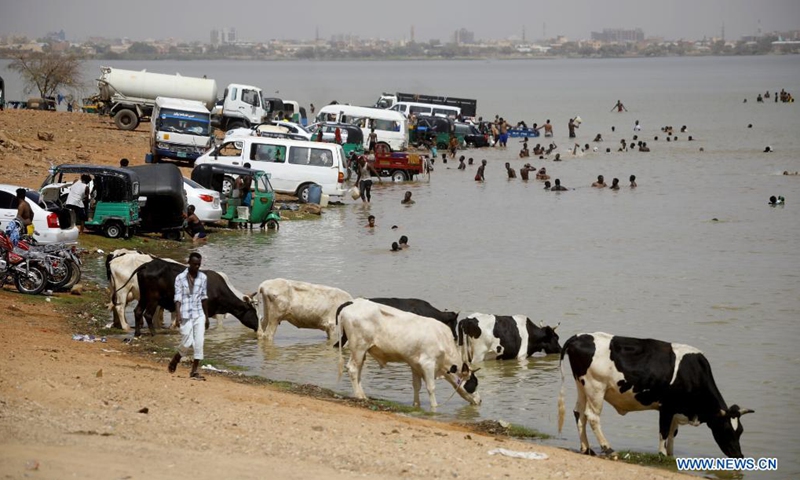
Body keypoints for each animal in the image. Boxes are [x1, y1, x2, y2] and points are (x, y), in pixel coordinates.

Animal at [123, 258, 260, 338]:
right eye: (254, 313)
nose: (258, 326)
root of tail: (146, 265)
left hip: (144, 296)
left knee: (138, 311)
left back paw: (137, 333)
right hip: (153, 298)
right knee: (147, 314)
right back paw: (153, 334)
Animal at [338, 300, 482, 408]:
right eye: (474, 383)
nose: (480, 401)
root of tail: (352, 303)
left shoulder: (415, 364)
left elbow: (416, 386)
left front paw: (416, 405)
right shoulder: (428, 364)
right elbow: (431, 387)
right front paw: (434, 407)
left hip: (362, 351)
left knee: (358, 370)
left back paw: (362, 394)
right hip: (358, 347)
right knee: (352, 369)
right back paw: (359, 396)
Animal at [560, 332, 752, 460]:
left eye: (741, 431)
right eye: (726, 429)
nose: (739, 455)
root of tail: (579, 336)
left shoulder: (675, 411)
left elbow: (672, 433)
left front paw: (671, 455)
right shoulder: (666, 407)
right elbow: (664, 431)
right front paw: (662, 454)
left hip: (582, 386)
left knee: (579, 413)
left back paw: (586, 449)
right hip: (596, 388)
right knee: (592, 416)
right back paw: (608, 449)